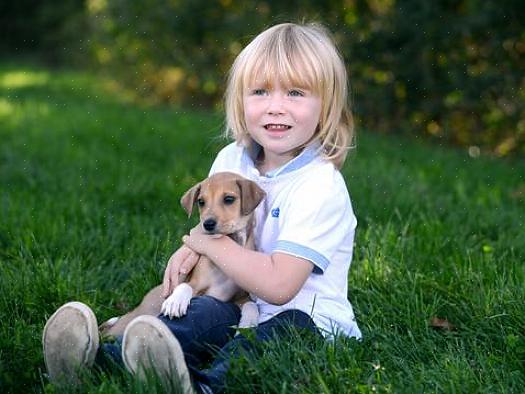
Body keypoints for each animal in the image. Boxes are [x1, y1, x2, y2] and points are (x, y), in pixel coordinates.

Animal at [100, 172, 264, 338]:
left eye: (229, 199)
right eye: (201, 202)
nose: (208, 224)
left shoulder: (240, 296)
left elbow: (252, 305)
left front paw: (247, 325)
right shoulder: (196, 282)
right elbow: (185, 285)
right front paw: (175, 302)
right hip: (132, 320)